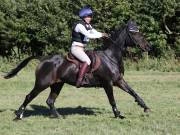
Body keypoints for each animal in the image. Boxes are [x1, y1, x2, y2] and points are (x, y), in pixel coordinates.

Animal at [3, 19, 150, 119]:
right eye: (136, 34)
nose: (149, 46)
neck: (110, 57)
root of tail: (43, 59)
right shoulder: (108, 83)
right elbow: (112, 99)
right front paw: (118, 114)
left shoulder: (118, 80)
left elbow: (133, 92)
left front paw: (145, 107)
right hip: (42, 83)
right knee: (29, 96)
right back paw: (19, 115)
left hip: (57, 84)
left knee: (50, 101)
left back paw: (58, 116)